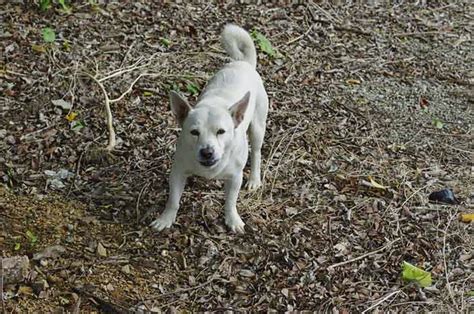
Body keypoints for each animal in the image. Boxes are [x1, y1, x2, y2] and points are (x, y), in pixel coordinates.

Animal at [150, 24, 268, 232]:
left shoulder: (234, 178)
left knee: (256, 152)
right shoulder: (178, 172)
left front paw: (232, 219)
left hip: (257, 128)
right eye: (194, 132)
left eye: (221, 132)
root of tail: (243, 63)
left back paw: (254, 179)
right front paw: (166, 218)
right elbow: (173, 200)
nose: (207, 152)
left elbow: (230, 201)